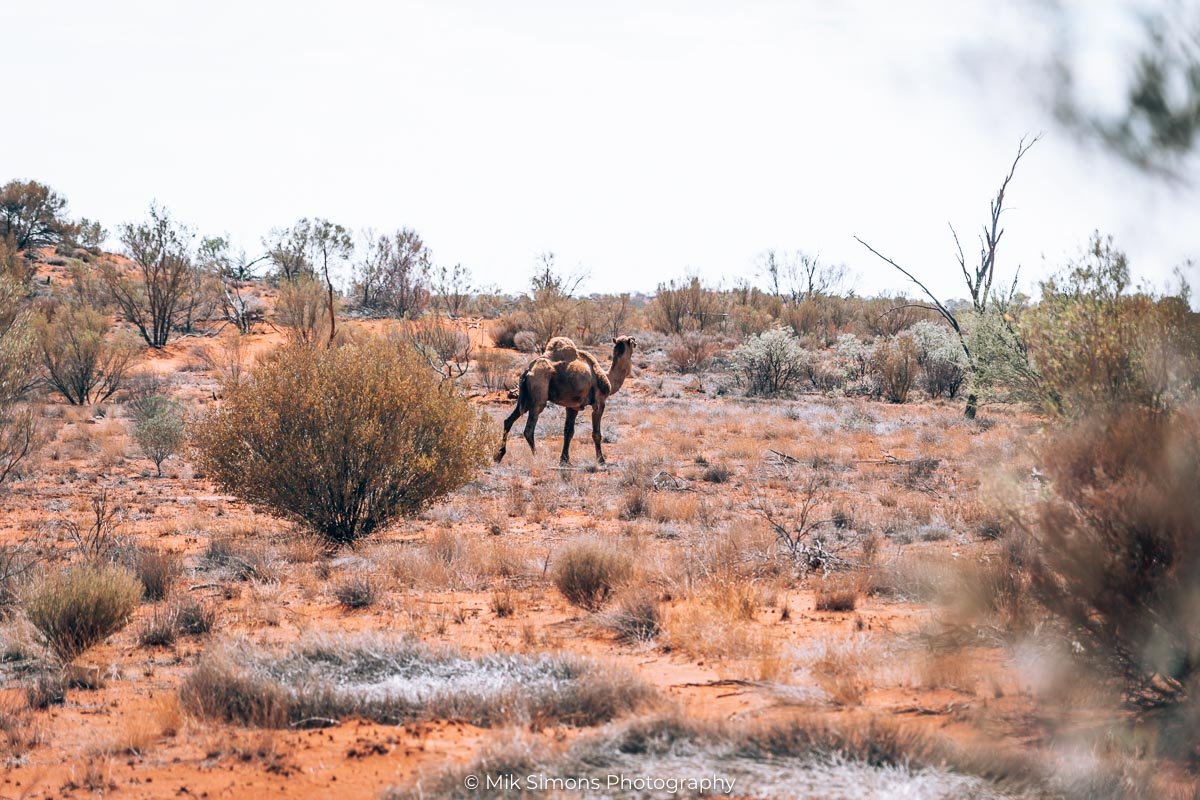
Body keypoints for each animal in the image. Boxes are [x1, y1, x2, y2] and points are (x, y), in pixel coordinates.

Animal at [494, 335, 638, 466]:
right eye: (631, 341)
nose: (635, 340)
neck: (607, 378)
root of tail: (527, 372)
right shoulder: (599, 403)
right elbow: (596, 434)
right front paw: (601, 460)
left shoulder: (572, 406)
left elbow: (568, 432)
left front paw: (565, 460)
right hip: (538, 397)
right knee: (528, 430)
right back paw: (538, 457)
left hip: (525, 399)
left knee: (508, 421)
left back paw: (498, 456)